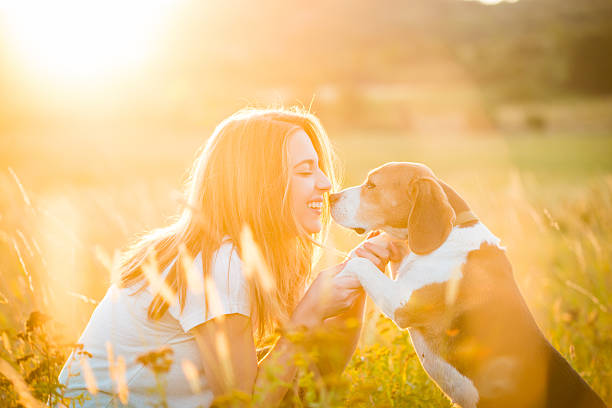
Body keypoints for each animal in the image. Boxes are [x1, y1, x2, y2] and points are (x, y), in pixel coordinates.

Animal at [332, 163, 604, 408]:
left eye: (372, 186)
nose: (332, 195)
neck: (451, 233)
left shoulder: (402, 303)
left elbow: (360, 264)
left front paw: (344, 266)